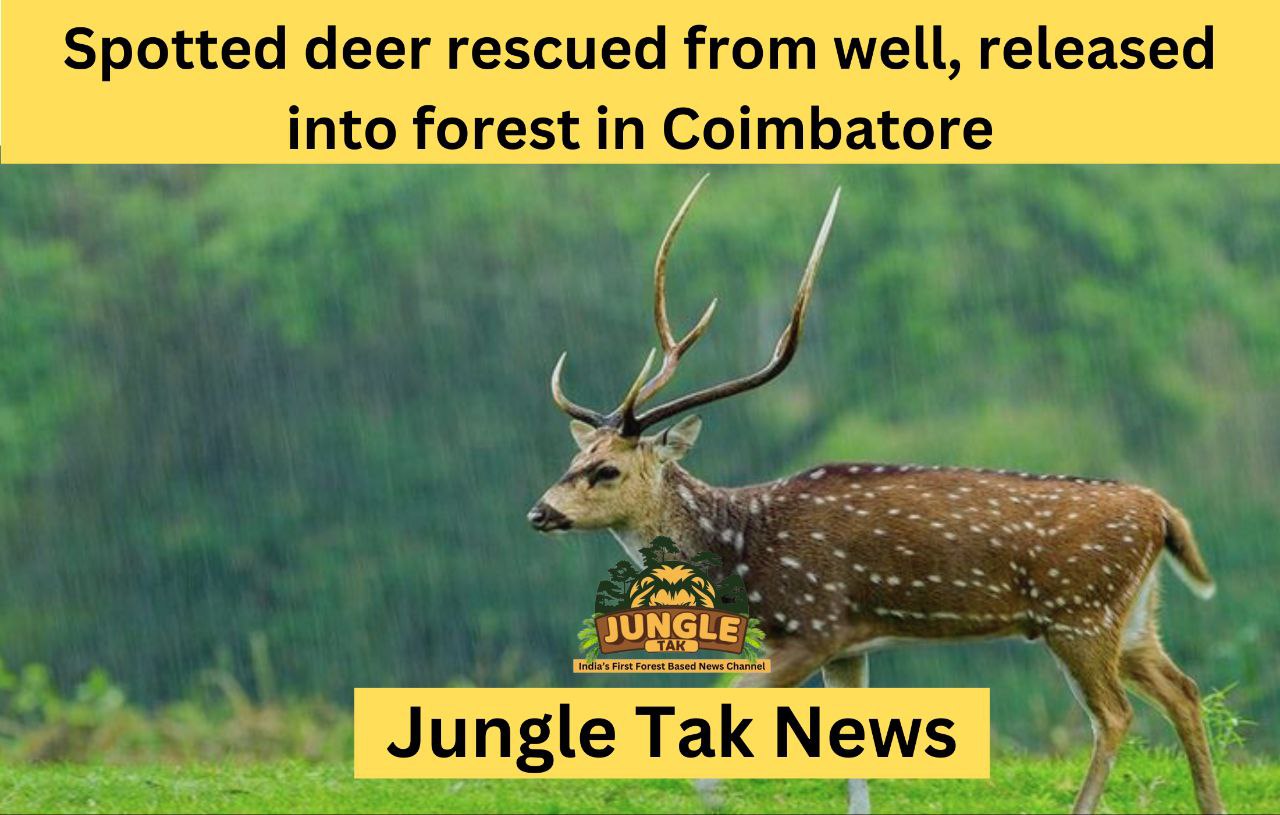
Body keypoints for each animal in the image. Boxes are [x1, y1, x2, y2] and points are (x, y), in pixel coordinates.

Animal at [527, 177, 1225, 815]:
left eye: (606, 470)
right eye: (574, 458)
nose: (540, 512)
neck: (743, 549)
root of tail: (1161, 511)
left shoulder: (812, 624)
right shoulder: (849, 647)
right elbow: (852, 761)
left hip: (1078, 613)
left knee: (1115, 713)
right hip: (1132, 617)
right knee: (1184, 689)